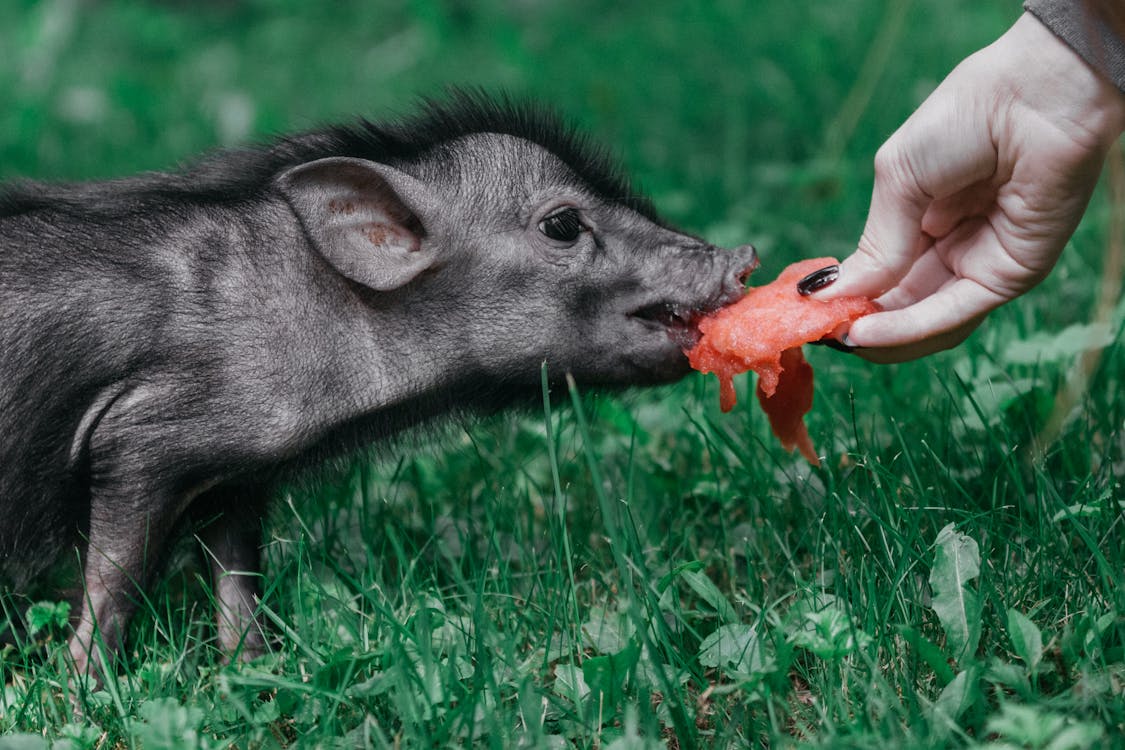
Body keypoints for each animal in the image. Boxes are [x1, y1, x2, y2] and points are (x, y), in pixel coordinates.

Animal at [0, 92, 760, 674]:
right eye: (563, 224)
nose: (745, 254)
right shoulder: (137, 440)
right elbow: (116, 579)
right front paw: (86, 690)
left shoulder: (237, 473)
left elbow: (239, 577)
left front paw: (257, 673)